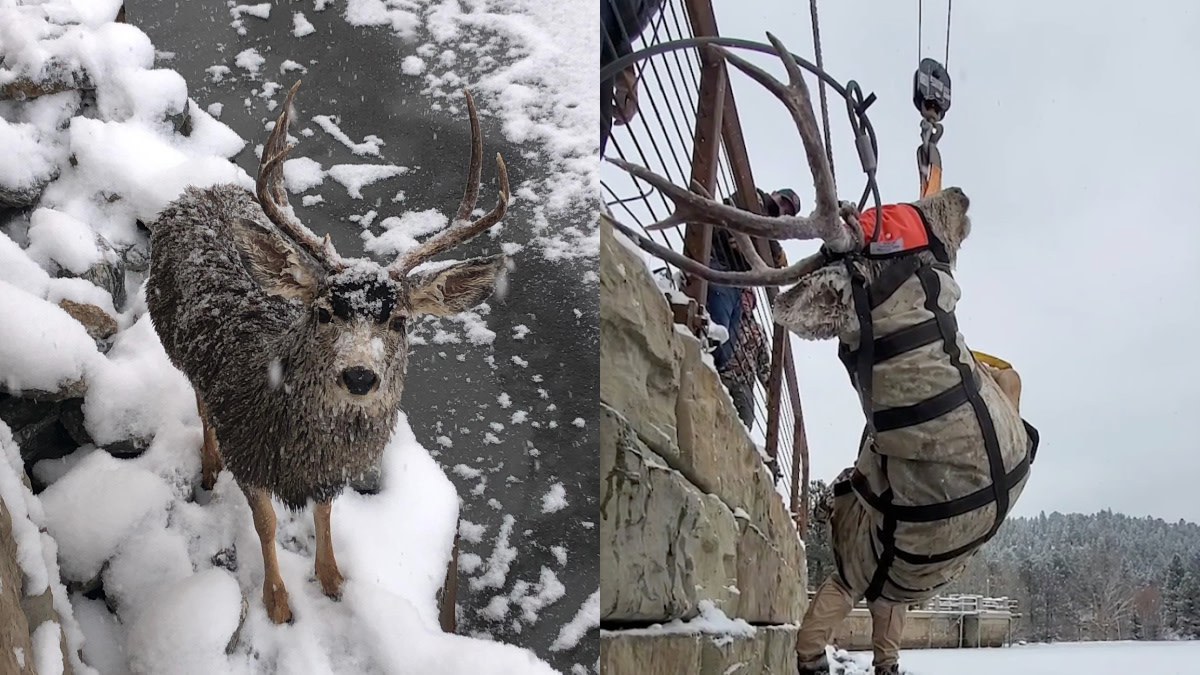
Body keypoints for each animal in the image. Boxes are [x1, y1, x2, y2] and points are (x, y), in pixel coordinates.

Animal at [146, 81, 509, 624]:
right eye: (322, 313)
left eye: (400, 321)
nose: (359, 376)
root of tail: (197, 192)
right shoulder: (247, 447)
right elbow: (267, 523)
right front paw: (278, 603)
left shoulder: (329, 473)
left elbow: (325, 511)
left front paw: (334, 580)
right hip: (175, 344)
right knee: (201, 403)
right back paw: (208, 468)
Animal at [602, 33, 1038, 675]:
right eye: (894, 219)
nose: (957, 193)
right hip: (861, 569)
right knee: (845, 629)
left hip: (866, 575)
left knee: (859, 634)